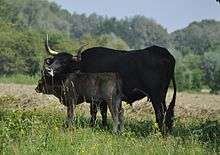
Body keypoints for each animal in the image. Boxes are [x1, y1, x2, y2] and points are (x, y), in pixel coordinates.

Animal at [43, 35, 176, 133]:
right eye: (54, 60)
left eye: (64, 62)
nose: (48, 69)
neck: (83, 65)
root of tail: (165, 54)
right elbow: (103, 112)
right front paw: (103, 126)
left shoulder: (95, 97)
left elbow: (94, 111)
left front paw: (94, 125)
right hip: (162, 95)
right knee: (164, 112)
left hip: (156, 95)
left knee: (160, 113)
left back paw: (159, 132)